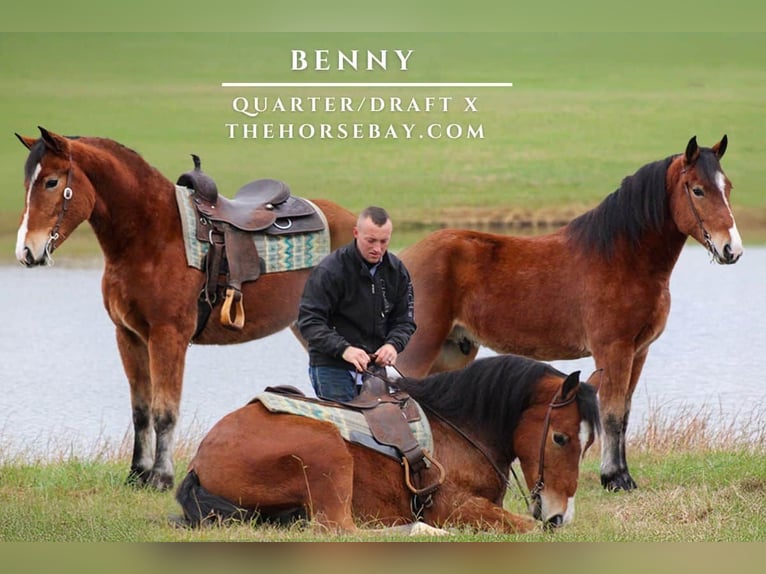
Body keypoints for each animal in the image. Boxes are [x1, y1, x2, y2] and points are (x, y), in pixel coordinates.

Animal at [15, 128, 356, 492]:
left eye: (51, 182)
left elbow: (164, 411)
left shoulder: (169, 336)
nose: (26, 251)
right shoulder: (129, 336)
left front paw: (161, 478)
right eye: (27, 183)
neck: (152, 237)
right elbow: (141, 410)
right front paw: (137, 474)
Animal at [177, 356, 604, 536]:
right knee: (341, 529)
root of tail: (202, 458)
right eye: (560, 438)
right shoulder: (456, 507)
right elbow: (528, 527)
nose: (560, 516)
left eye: (587, 445)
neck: (460, 428)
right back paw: (421, 531)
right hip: (327, 451)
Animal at [400, 134, 748, 490]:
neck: (624, 258)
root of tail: (406, 256)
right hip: (419, 350)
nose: (731, 249)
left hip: (451, 353)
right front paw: (614, 478)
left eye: (728, 187)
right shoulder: (613, 349)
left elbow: (624, 413)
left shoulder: (638, 352)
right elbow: (611, 413)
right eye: (698, 190)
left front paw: (622, 475)